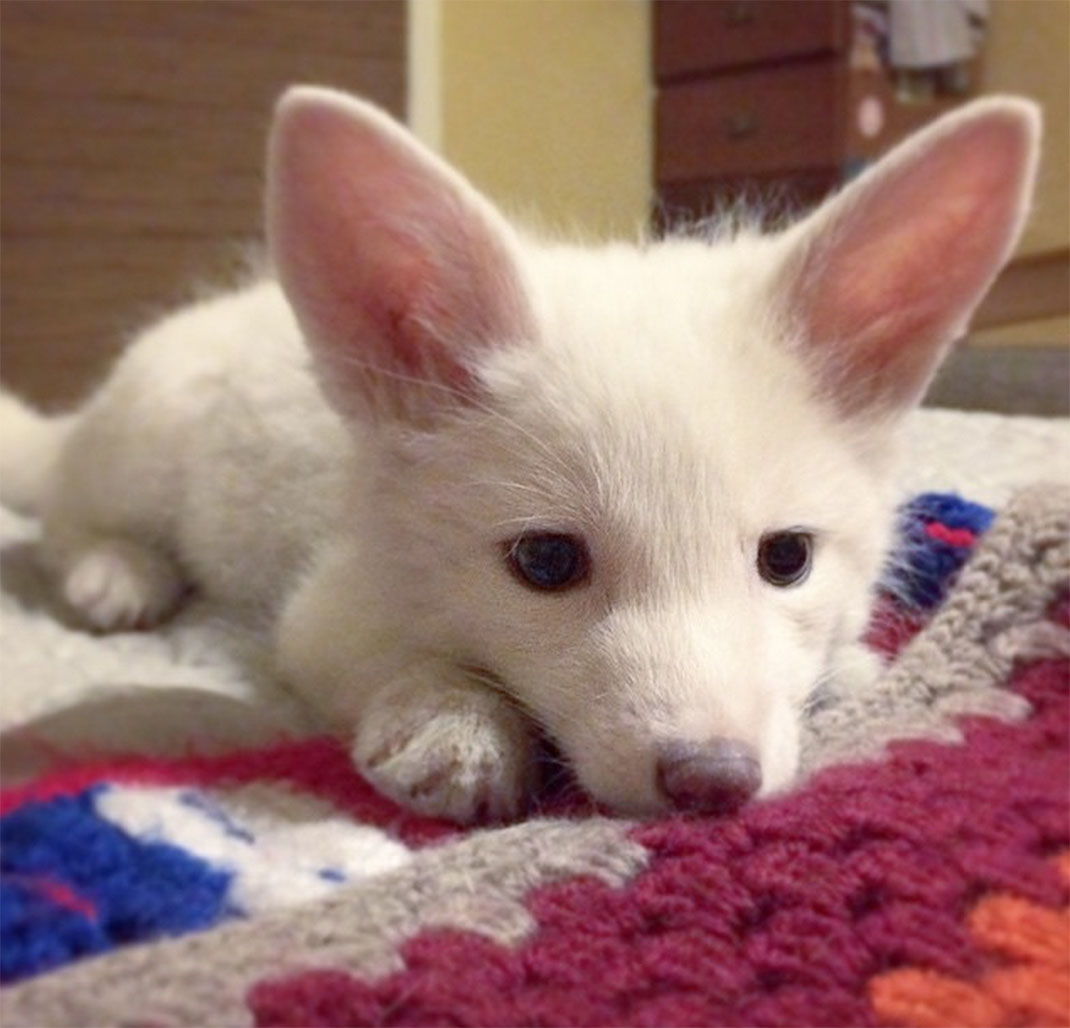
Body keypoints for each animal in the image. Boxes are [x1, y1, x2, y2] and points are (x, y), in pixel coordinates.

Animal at [0, 86, 1039, 823]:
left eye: (787, 557)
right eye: (545, 562)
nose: (711, 781)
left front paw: (848, 674)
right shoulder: (327, 608)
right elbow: (396, 660)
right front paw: (452, 726)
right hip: (143, 437)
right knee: (65, 514)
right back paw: (115, 571)